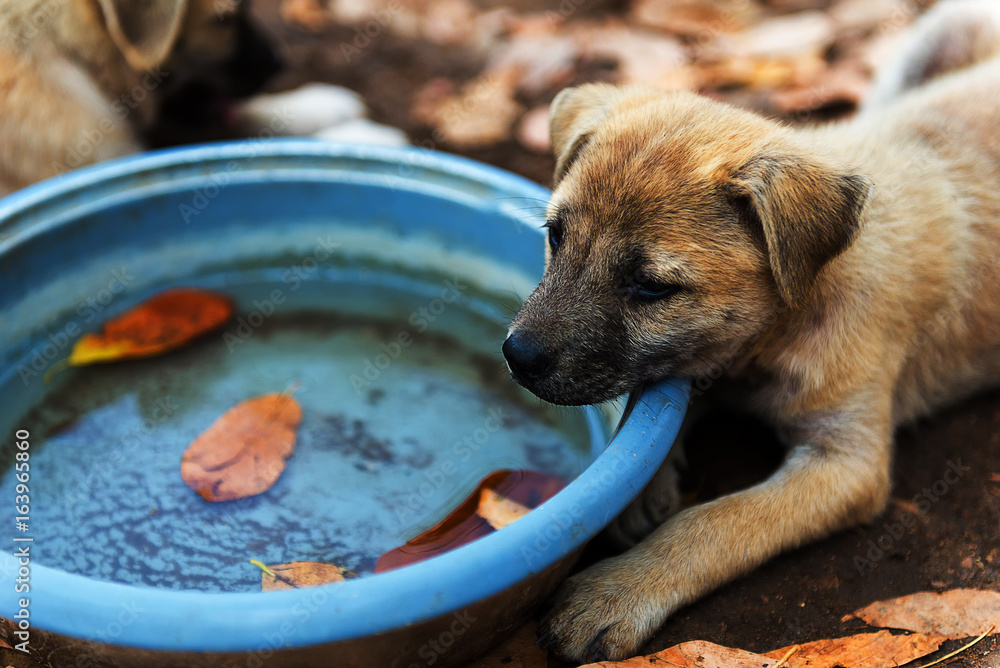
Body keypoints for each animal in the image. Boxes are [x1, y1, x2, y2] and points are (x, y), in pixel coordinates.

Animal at [504, 5, 1000, 664]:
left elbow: (716, 522)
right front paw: (645, 489)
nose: (515, 355)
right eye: (555, 236)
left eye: (650, 287)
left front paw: (617, 591)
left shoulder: (847, 463)